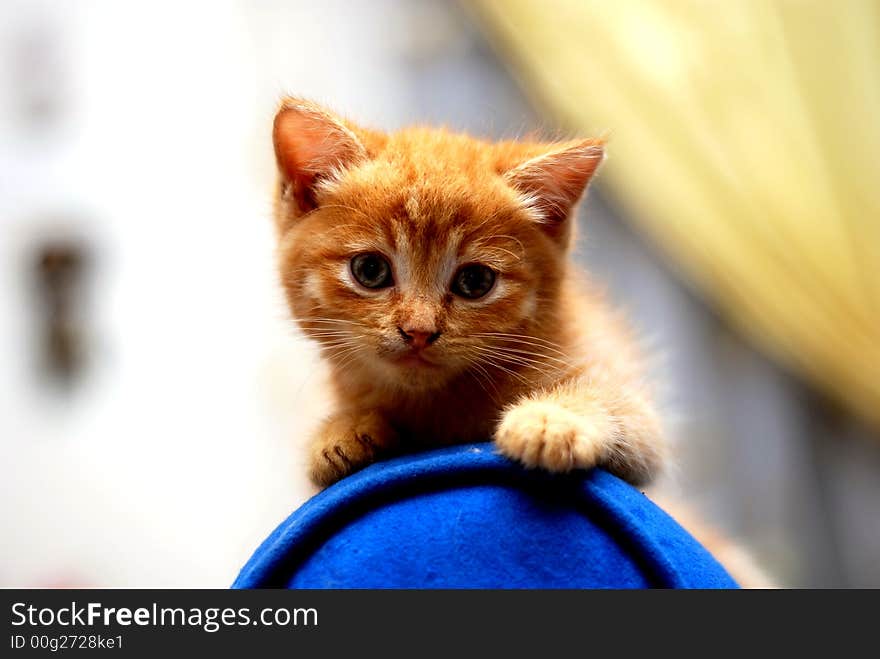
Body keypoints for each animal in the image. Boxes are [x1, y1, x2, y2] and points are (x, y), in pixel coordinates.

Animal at [272, 98, 664, 490]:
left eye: (475, 281)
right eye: (370, 270)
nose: (418, 332)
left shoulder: (619, 386)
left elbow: (618, 406)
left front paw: (551, 421)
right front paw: (344, 428)